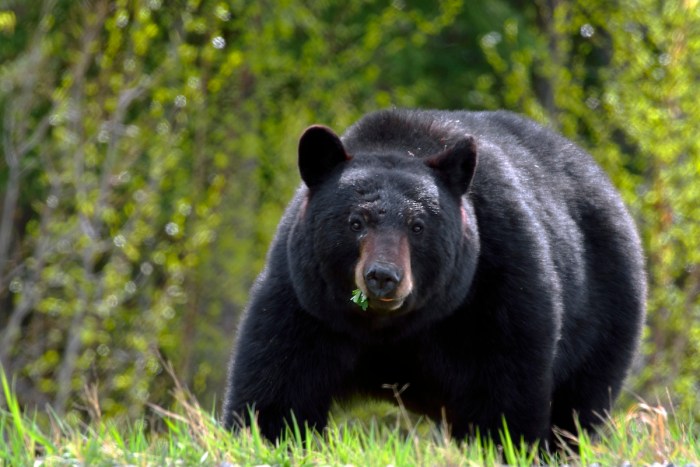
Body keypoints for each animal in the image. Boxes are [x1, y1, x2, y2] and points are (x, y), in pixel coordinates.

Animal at [222, 108, 646, 447]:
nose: (383, 277)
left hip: (606, 314)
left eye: (418, 226)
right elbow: (279, 387)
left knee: (576, 409)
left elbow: (503, 390)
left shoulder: (496, 285)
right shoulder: (305, 299)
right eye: (356, 222)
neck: (388, 327)